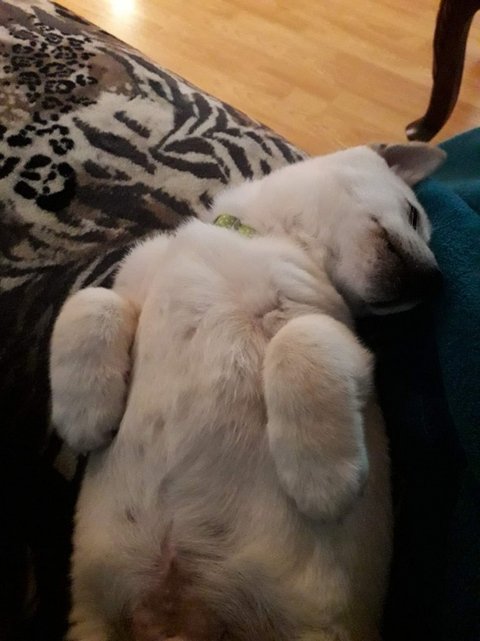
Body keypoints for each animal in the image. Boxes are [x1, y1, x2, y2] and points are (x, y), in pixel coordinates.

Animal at [50, 142, 445, 641]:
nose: (435, 282)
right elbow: (92, 300)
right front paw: (83, 414)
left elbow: (299, 338)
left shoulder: (340, 336)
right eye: (414, 215)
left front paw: (323, 480)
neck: (257, 237)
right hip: (92, 625)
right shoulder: (130, 286)